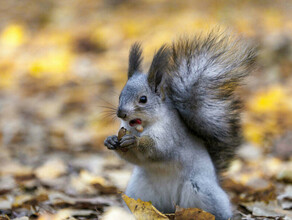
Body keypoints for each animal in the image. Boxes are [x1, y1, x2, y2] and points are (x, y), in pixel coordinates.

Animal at [104, 31, 254, 220]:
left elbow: (159, 149)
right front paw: (110, 140)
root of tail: (170, 206)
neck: (144, 126)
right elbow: (132, 158)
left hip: (201, 189)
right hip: (139, 190)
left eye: (143, 99)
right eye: (120, 96)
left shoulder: (171, 134)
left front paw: (135, 142)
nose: (121, 114)